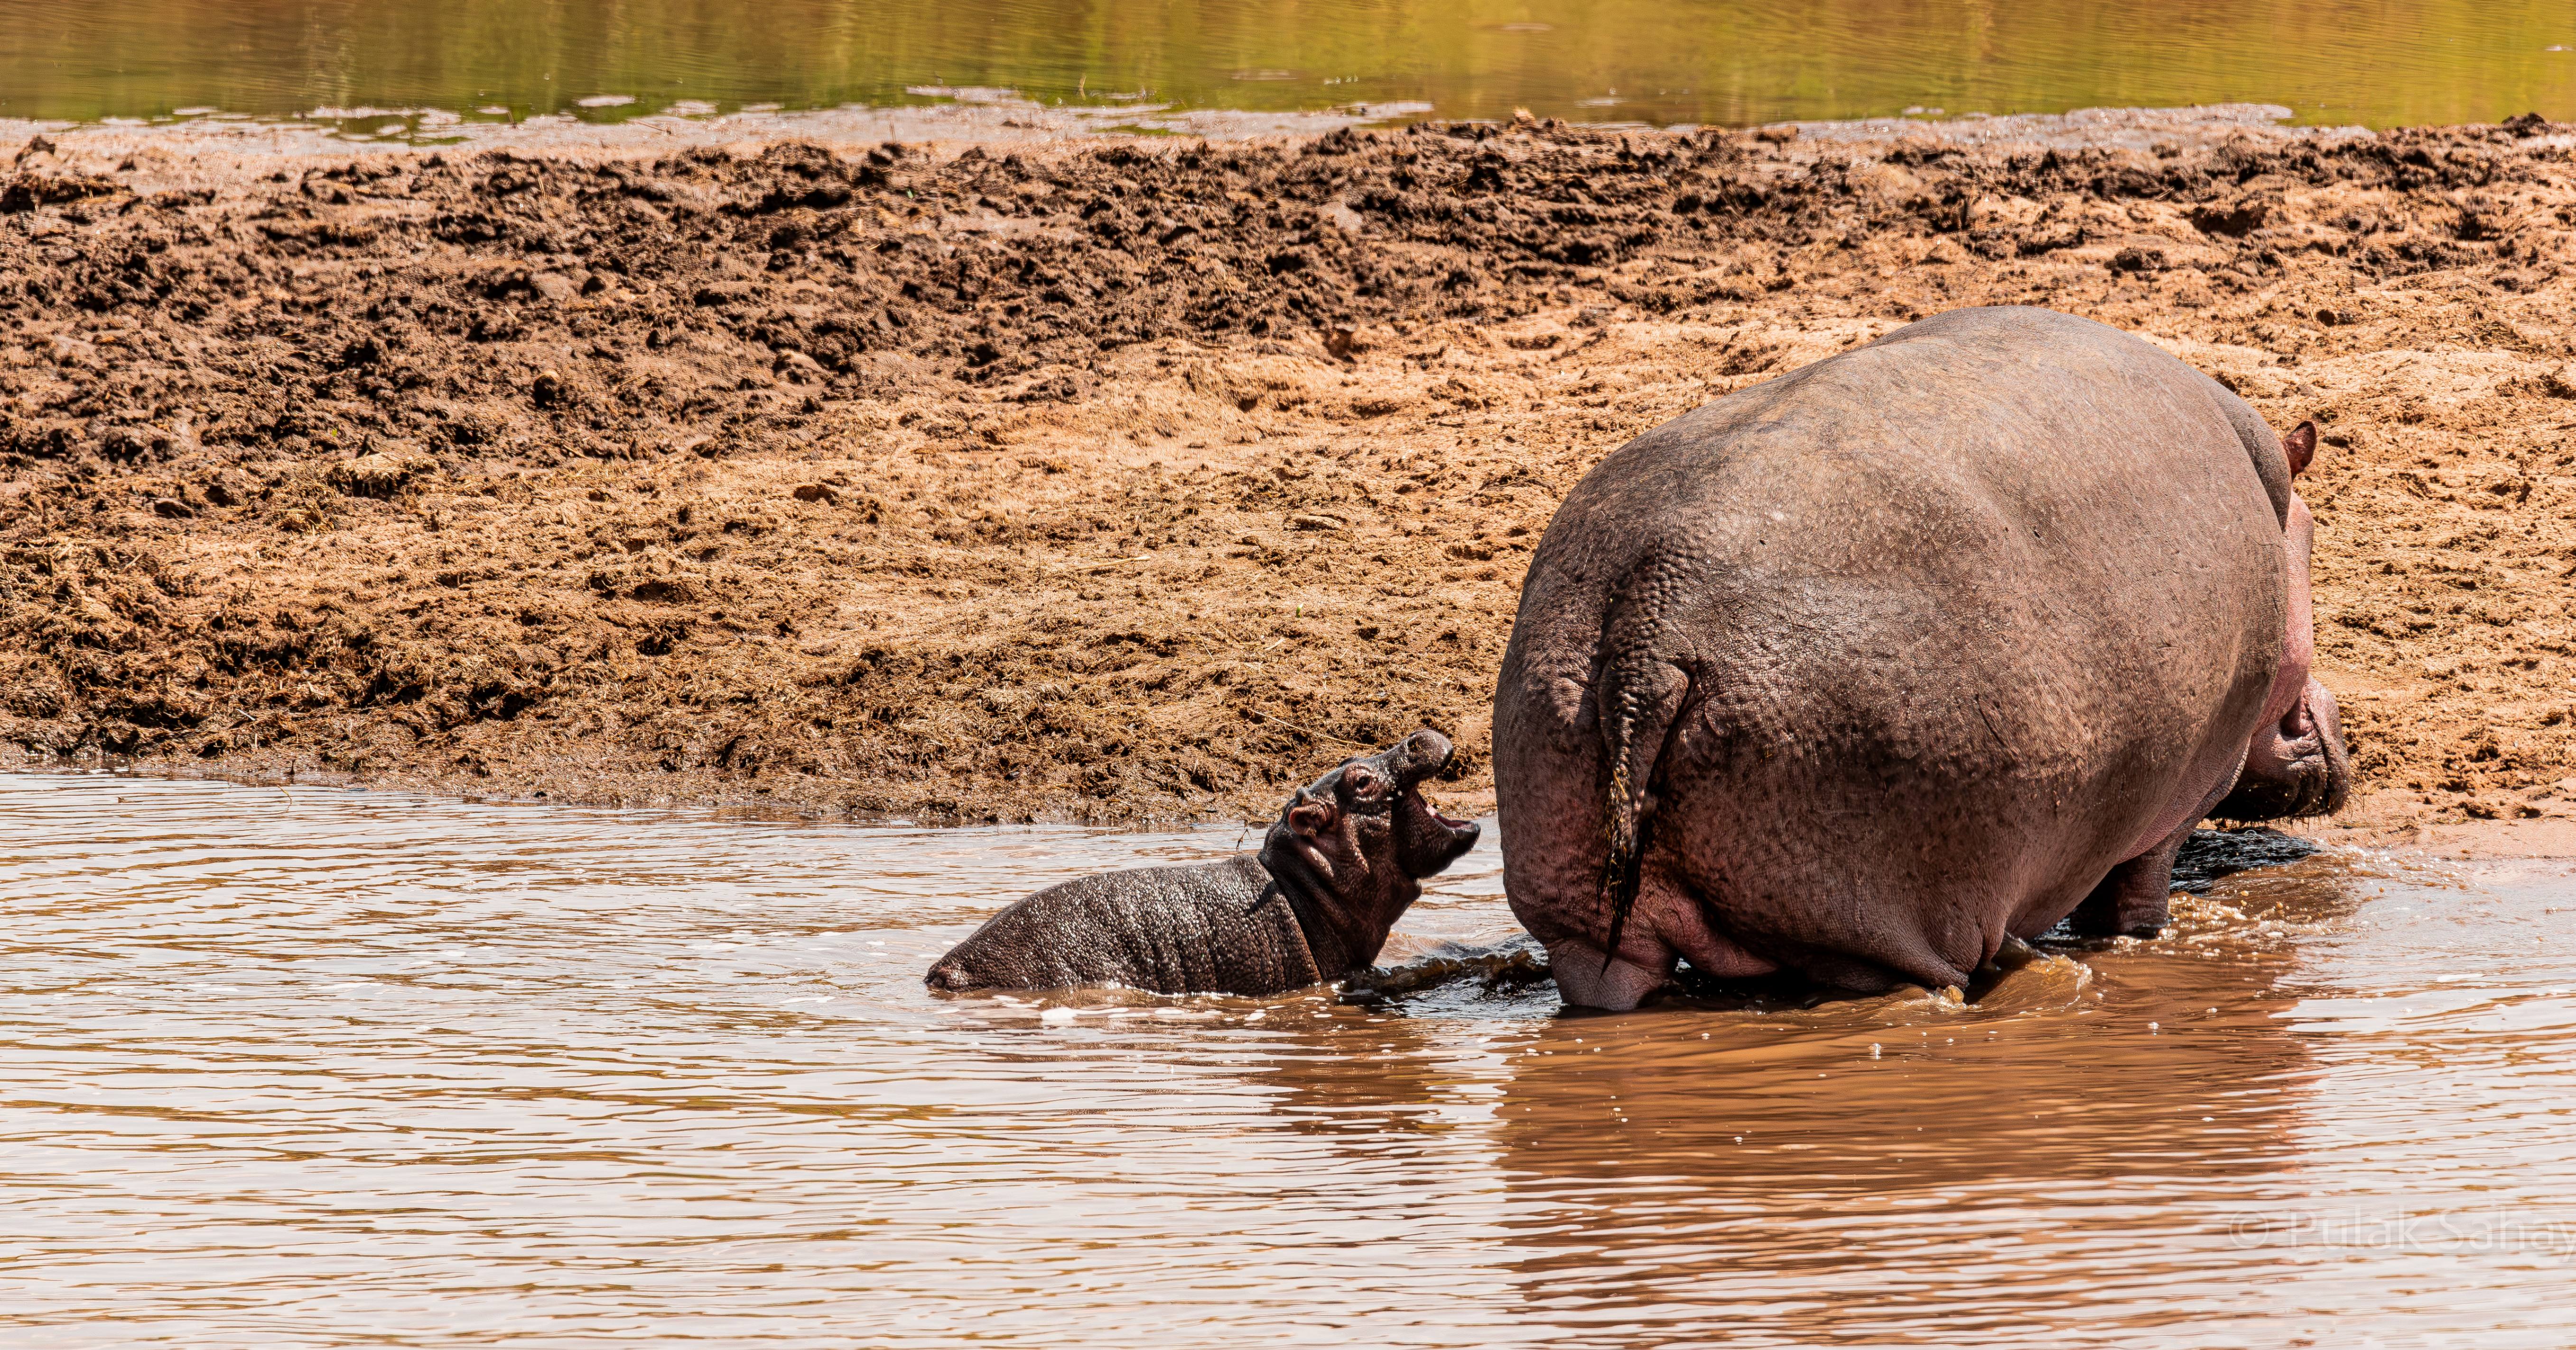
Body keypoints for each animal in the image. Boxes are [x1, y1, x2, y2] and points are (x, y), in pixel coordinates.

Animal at [1493, 306, 2351, 1010]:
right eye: (2312, 540)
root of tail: (1650, 630)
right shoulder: (2179, 800)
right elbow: (2133, 906)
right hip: (1875, 912)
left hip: (1574, 883)